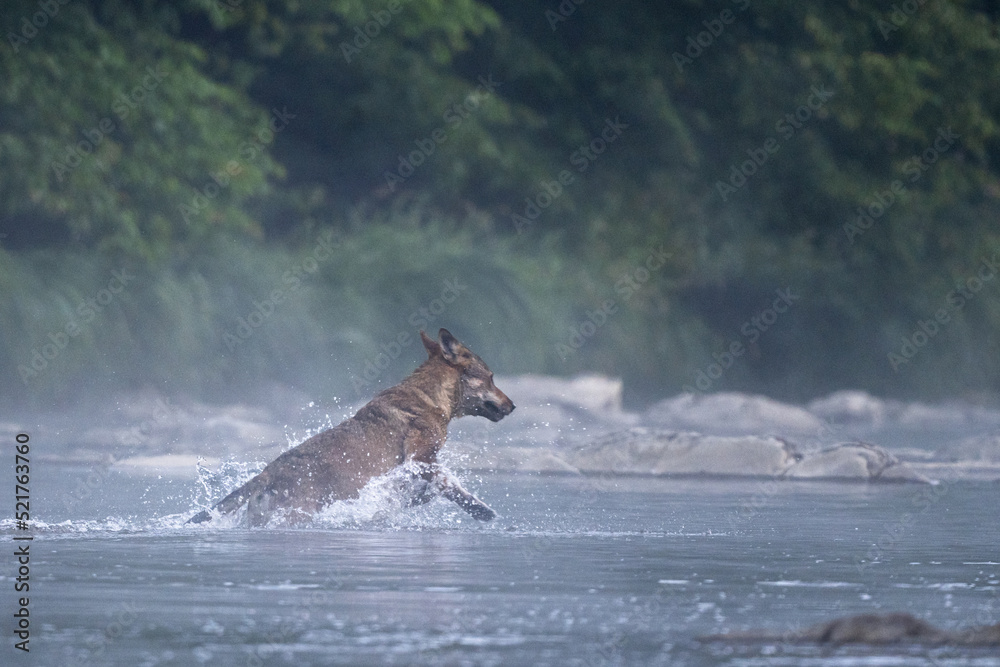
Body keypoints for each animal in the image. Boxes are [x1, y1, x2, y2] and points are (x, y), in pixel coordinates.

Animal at [188, 328, 514, 526]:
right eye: (491, 377)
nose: (512, 406)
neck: (430, 398)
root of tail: (265, 473)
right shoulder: (421, 459)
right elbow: (452, 488)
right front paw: (483, 512)